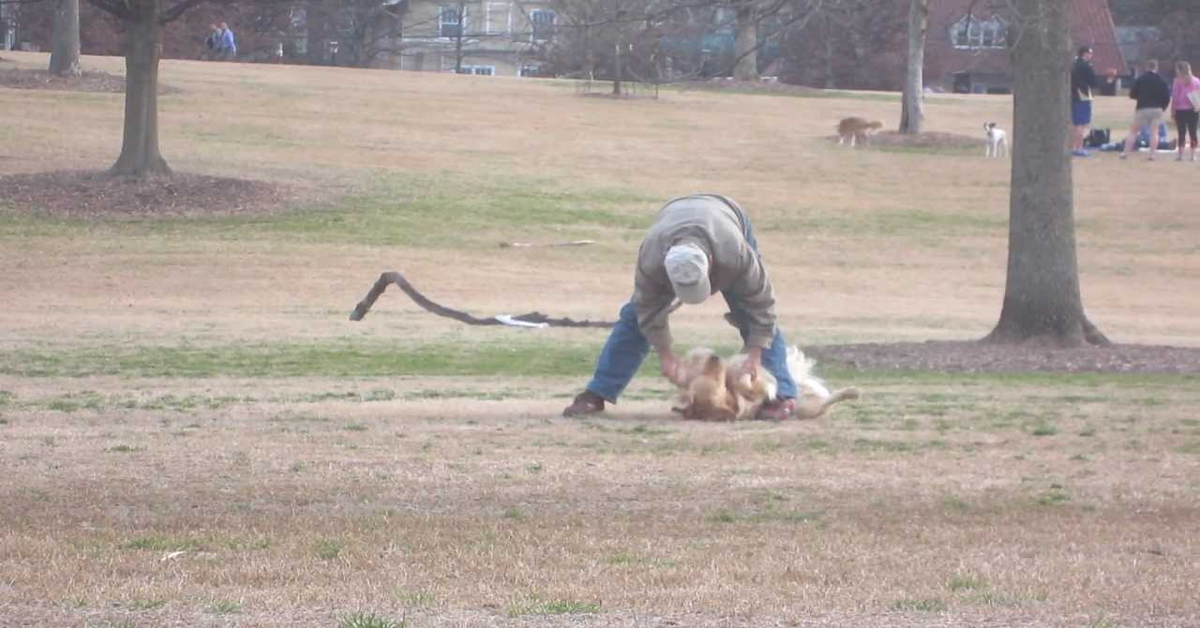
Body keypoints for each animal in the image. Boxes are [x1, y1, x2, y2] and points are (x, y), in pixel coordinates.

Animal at [672, 345, 859, 420]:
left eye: (709, 376)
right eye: (715, 380)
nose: (714, 357)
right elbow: (748, 382)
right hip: (811, 407)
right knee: (829, 399)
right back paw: (852, 391)